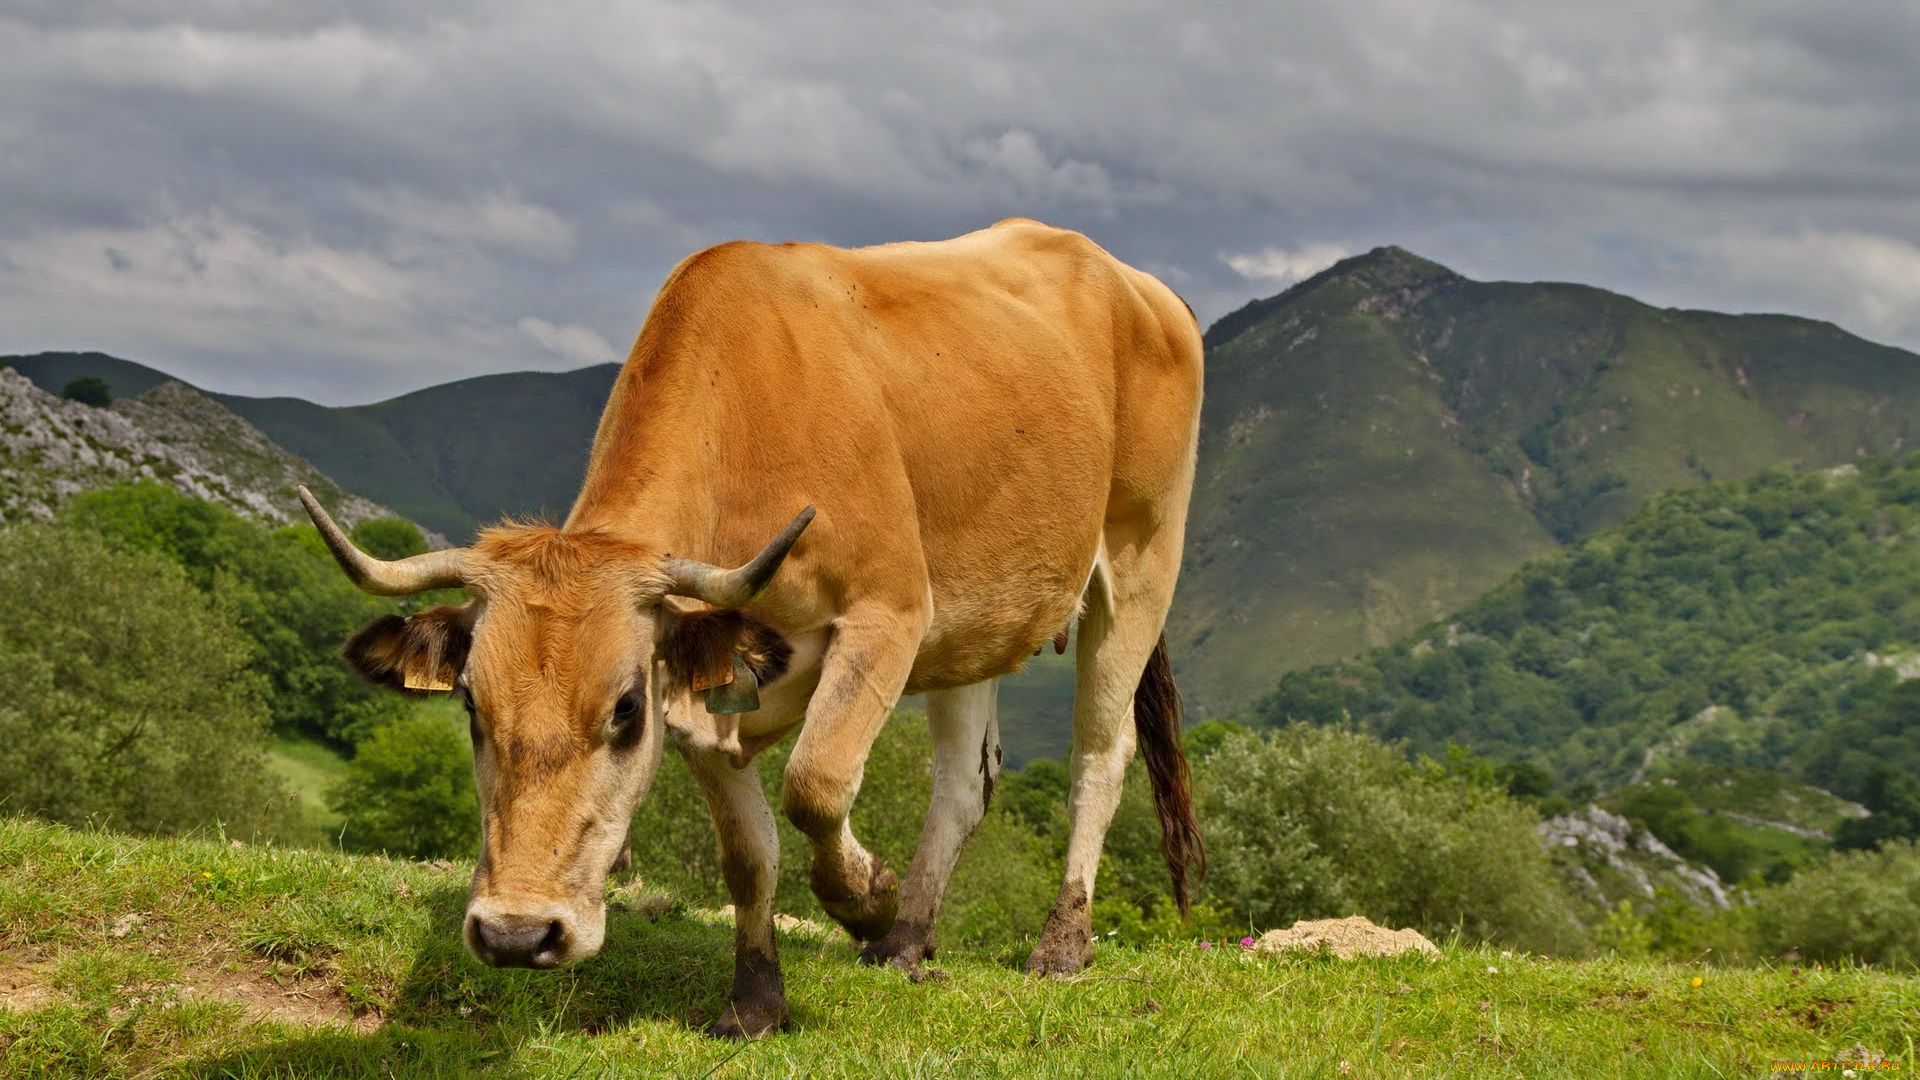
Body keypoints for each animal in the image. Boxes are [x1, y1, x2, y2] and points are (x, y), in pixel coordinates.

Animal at [298, 217, 1205, 1039]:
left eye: (624, 710)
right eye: (471, 707)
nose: (518, 934)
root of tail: (1132, 280)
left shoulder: (888, 612)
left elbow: (816, 782)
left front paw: (864, 898)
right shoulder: (704, 687)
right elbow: (748, 852)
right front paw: (758, 997)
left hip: (1139, 560)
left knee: (1101, 752)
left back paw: (1059, 941)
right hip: (976, 619)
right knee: (964, 780)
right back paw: (908, 940)